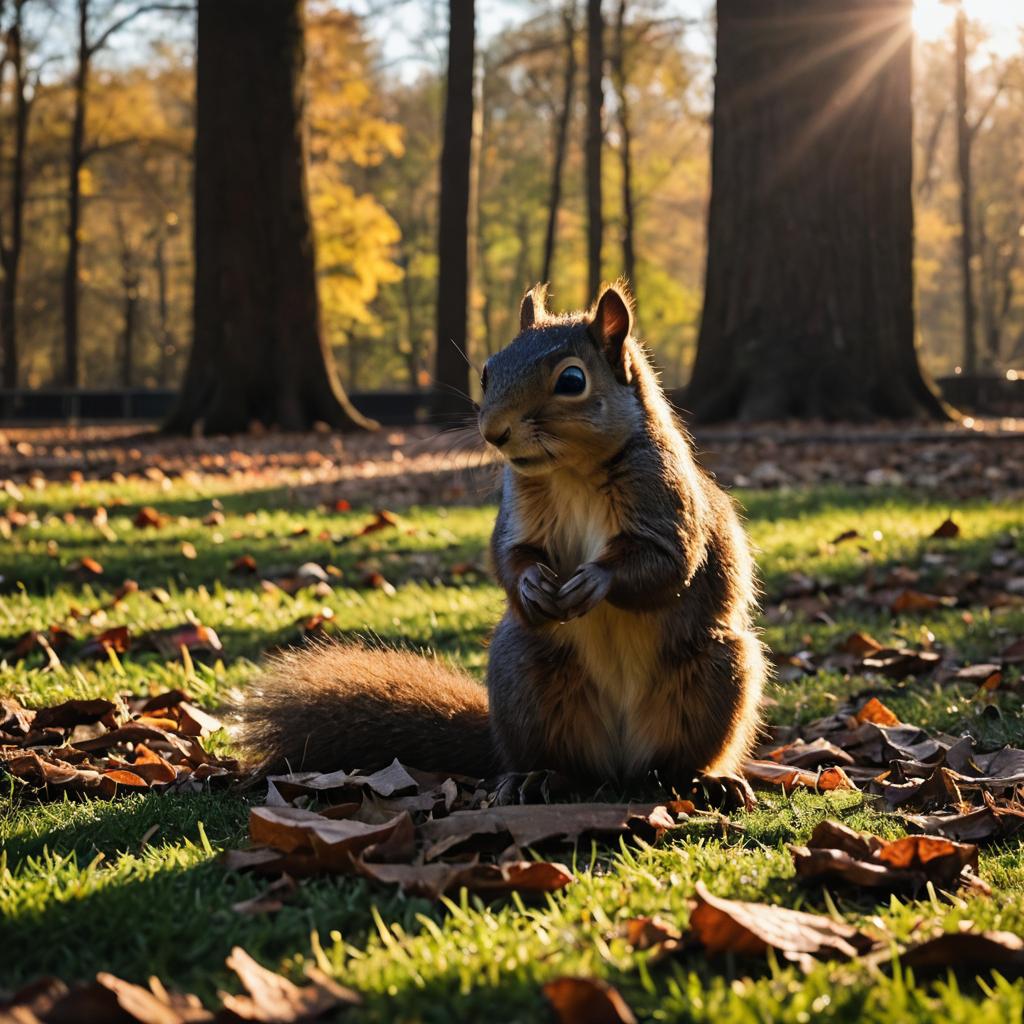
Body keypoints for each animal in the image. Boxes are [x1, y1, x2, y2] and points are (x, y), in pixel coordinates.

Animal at [235, 284, 765, 786]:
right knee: (557, 760)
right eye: (488, 371)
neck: (573, 471)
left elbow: (669, 563)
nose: (493, 432)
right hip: (523, 673)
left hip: (715, 672)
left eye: (572, 380)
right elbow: (510, 554)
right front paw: (531, 583)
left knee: (678, 759)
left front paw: (595, 580)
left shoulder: (665, 500)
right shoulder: (519, 510)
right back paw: (539, 778)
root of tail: (619, 764)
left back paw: (704, 780)